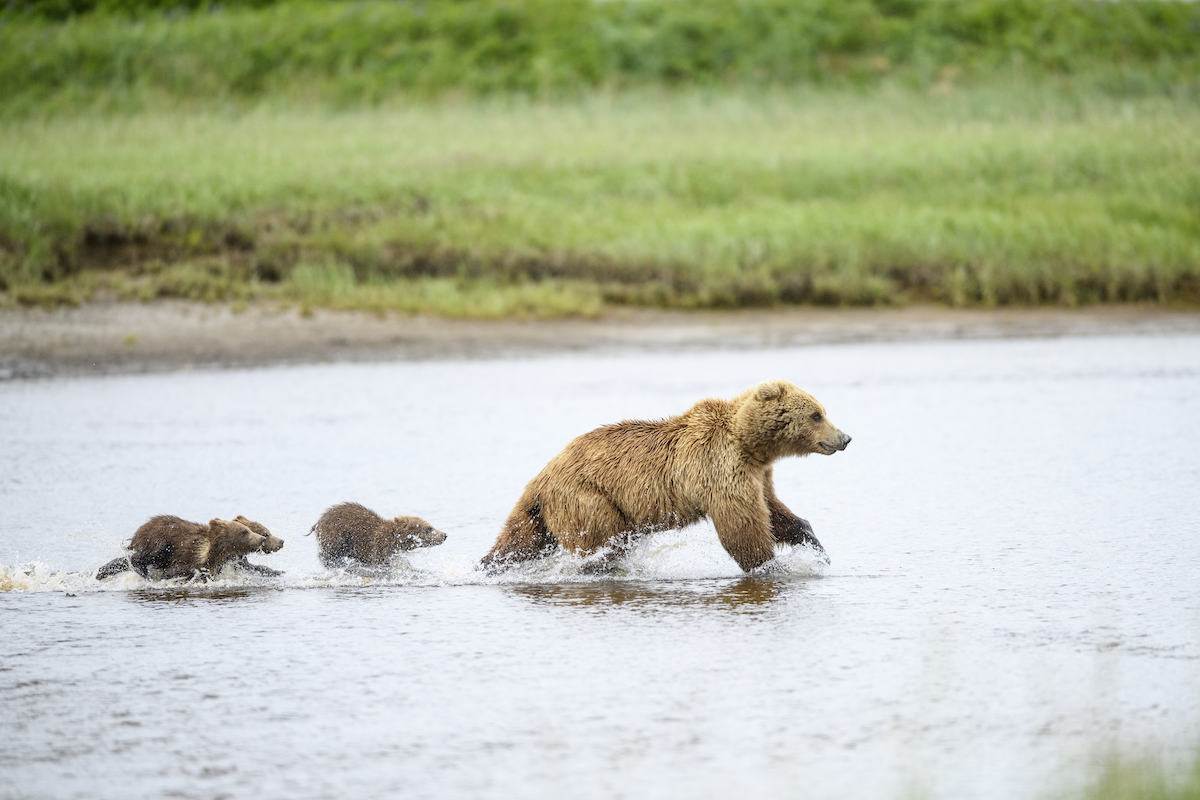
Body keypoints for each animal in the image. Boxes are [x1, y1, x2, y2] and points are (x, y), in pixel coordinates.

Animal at [481, 380, 851, 573]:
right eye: (817, 414)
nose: (845, 438)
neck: (750, 443)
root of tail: (542, 476)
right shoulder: (719, 465)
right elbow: (742, 525)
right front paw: (770, 565)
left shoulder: (758, 474)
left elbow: (775, 512)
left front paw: (816, 548)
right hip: (587, 497)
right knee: (604, 541)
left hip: (542, 512)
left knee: (521, 539)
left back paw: (489, 563)